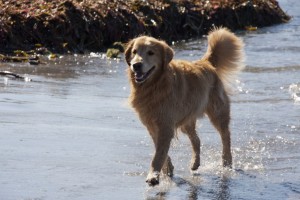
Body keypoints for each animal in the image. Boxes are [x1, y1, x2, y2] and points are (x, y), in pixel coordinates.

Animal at [124, 27, 244, 186]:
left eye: (150, 52)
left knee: (226, 136)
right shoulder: (152, 125)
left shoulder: (165, 125)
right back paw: (195, 163)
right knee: (197, 140)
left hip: (218, 112)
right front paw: (167, 169)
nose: (136, 65)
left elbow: (158, 154)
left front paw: (153, 176)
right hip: (186, 121)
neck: (155, 86)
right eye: (134, 52)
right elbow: (160, 150)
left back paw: (227, 162)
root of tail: (206, 63)